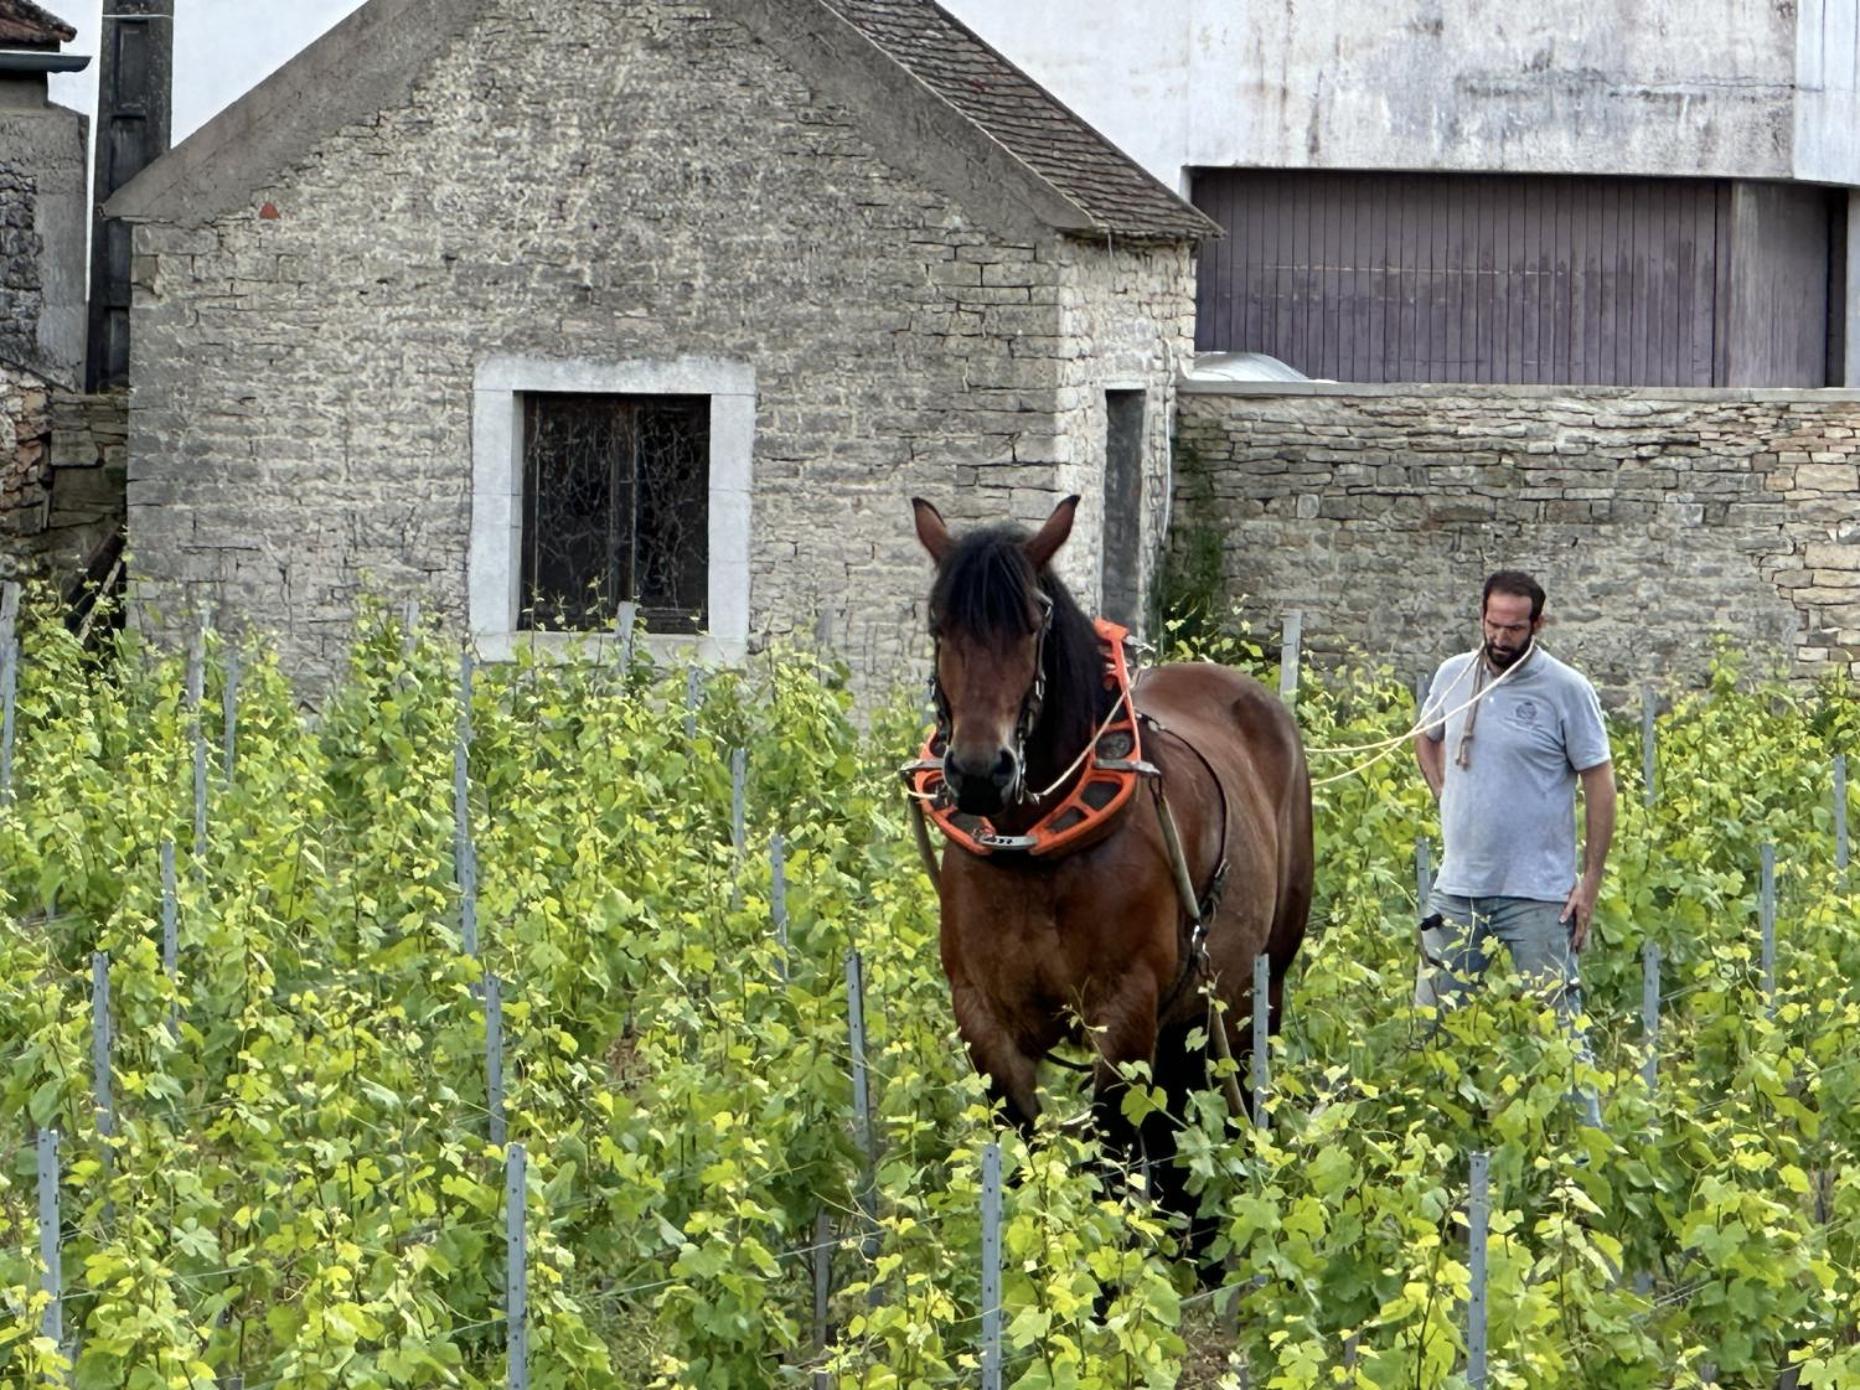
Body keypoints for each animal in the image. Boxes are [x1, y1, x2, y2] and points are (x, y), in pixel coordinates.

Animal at [903, 491, 1316, 1228]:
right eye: (938, 623)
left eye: (1033, 624)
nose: (980, 771)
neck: (1032, 850)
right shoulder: (982, 1017)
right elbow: (1023, 1153)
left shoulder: (1123, 1014)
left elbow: (1109, 1162)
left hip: (1249, 992)